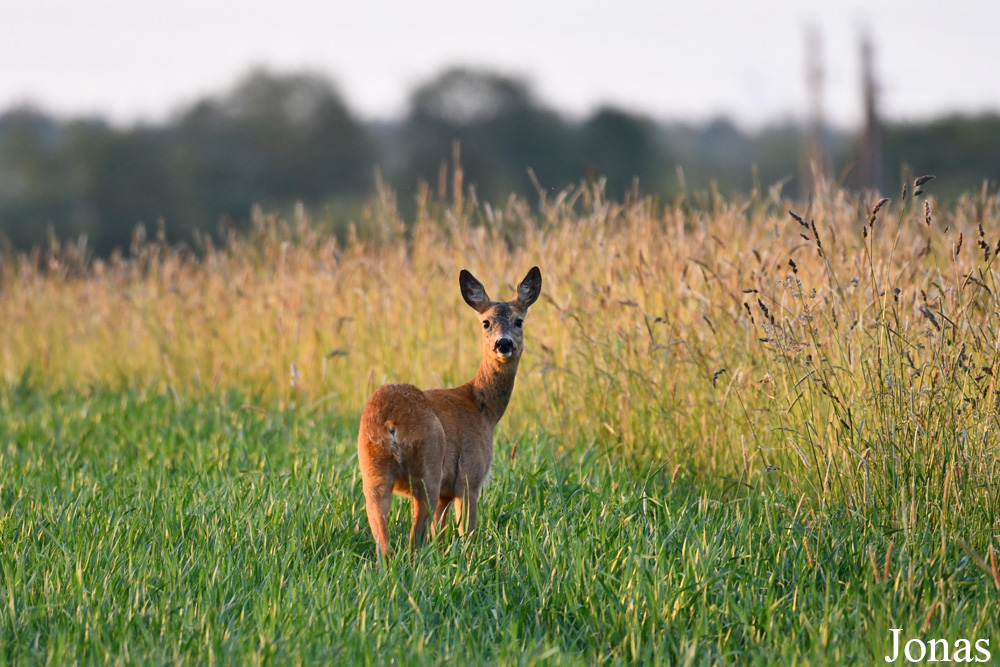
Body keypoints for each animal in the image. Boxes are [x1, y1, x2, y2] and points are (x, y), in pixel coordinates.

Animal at [360, 266, 544, 560]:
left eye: (519, 321)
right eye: (486, 322)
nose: (503, 344)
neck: (484, 409)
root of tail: (390, 423)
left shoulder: (447, 491)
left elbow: (442, 536)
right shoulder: (470, 475)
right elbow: (466, 533)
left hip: (372, 472)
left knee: (384, 544)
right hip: (428, 465)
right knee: (414, 541)